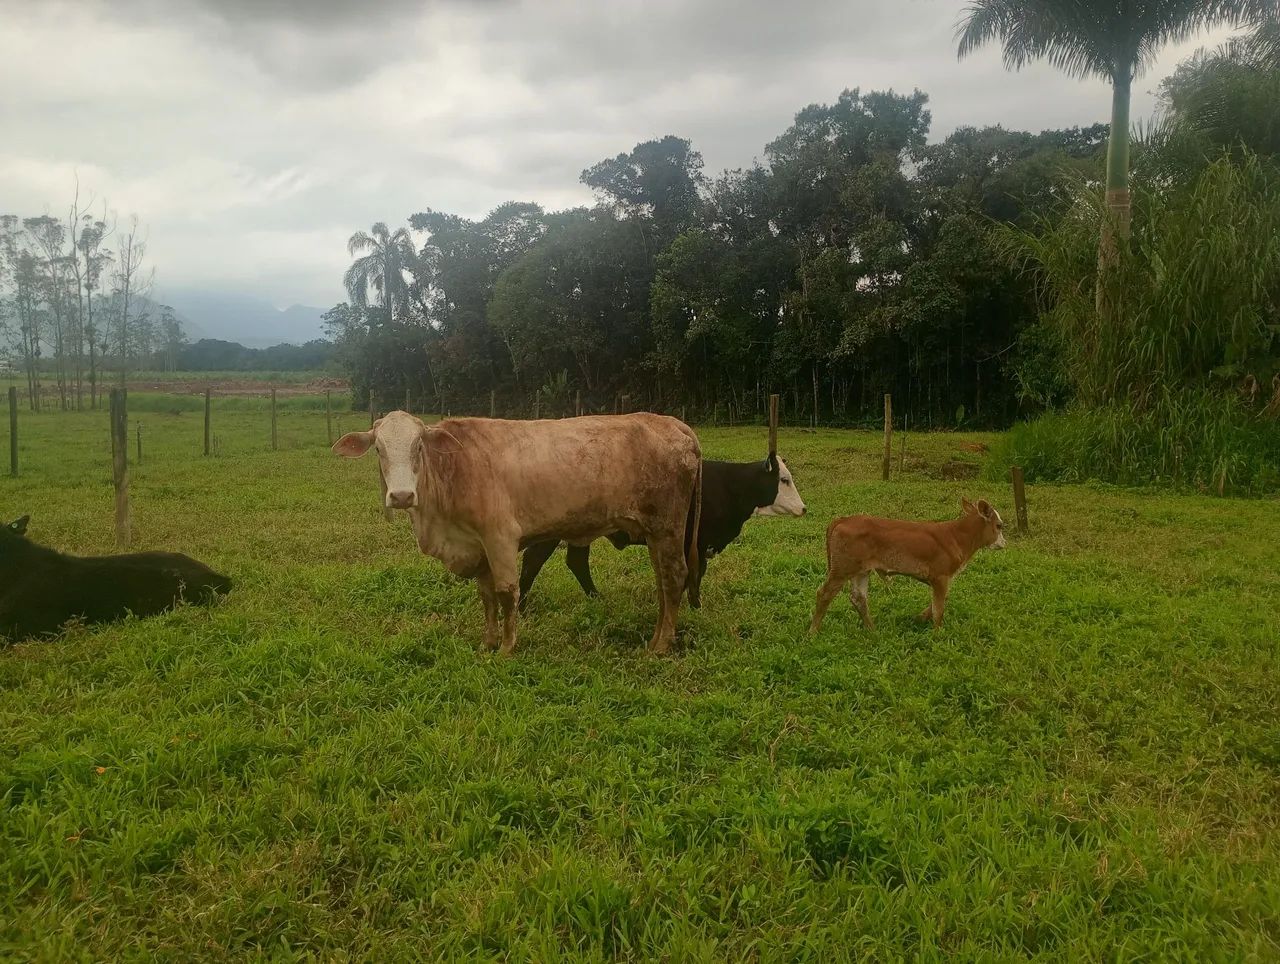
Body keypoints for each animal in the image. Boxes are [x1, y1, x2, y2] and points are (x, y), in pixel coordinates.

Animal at [332, 411, 702, 655]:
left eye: (418, 447)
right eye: (378, 449)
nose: (401, 496)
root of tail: (671, 422)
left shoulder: (500, 538)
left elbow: (507, 592)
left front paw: (508, 647)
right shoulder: (478, 547)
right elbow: (486, 596)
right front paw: (488, 641)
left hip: (667, 527)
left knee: (674, 577)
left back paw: (661, 645)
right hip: (657, 535)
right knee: (663, 581)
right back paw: (659, 636)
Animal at [518, 453, 806, 610]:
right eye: (784, 480)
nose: (803, 508)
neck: (726, 485)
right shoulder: (697, 542)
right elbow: (694, 574)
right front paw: (694, 605)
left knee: (576, 561)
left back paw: (596, 597)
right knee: (533, 561)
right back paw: (520, 605)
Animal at [809, 497, 1005, 633]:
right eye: (999, 525)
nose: (1004, 543)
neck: (958, 537)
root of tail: (843, 519)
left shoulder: (942, 580)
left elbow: (940, 601)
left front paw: (919, 618)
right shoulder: (941, 576)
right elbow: (939, 608)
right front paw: (937, 633)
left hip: (861, 570)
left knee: (858, 598)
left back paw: (872, 630)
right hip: (841, 569)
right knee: (824, 594)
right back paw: (813, 632)